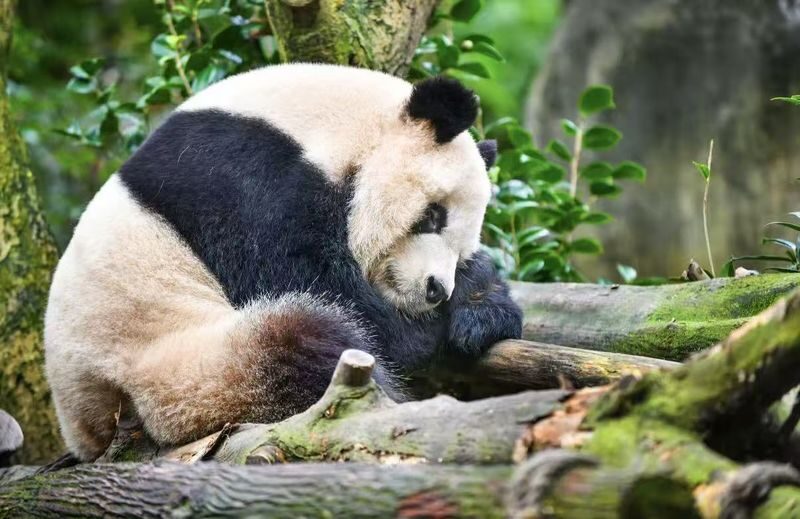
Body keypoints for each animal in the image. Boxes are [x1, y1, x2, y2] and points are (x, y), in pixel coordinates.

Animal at [44, 63, 523, 461]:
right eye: (432, 216)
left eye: (462, 245)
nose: (435, 289)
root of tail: (84, 428)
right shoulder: (240, 180)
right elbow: (312, 282)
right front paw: (433, 327)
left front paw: (482, 307)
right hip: (176, 368)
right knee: (301, 343)